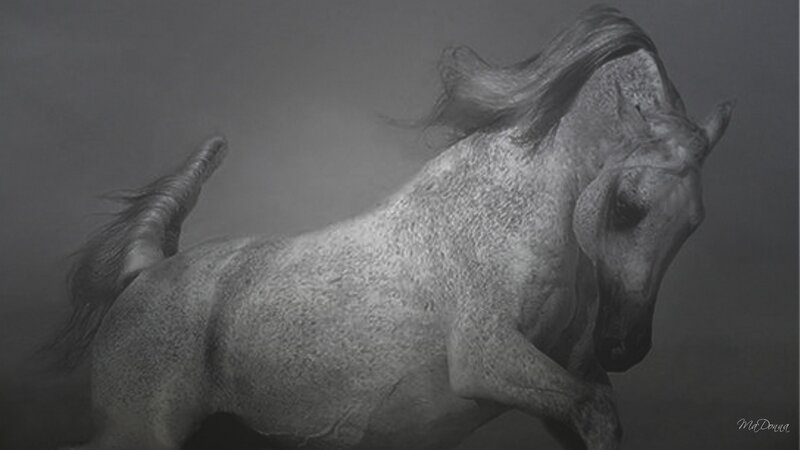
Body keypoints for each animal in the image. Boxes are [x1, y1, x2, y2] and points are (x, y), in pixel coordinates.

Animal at [54, 6, 733, 450]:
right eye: (625, 205)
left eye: (693, 224)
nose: (626, 348)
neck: (511, 214)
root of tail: (146, 271)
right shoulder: (487, 360)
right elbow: (593, 409)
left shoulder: (563, 379)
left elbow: (600, 418)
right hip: (138, 433)